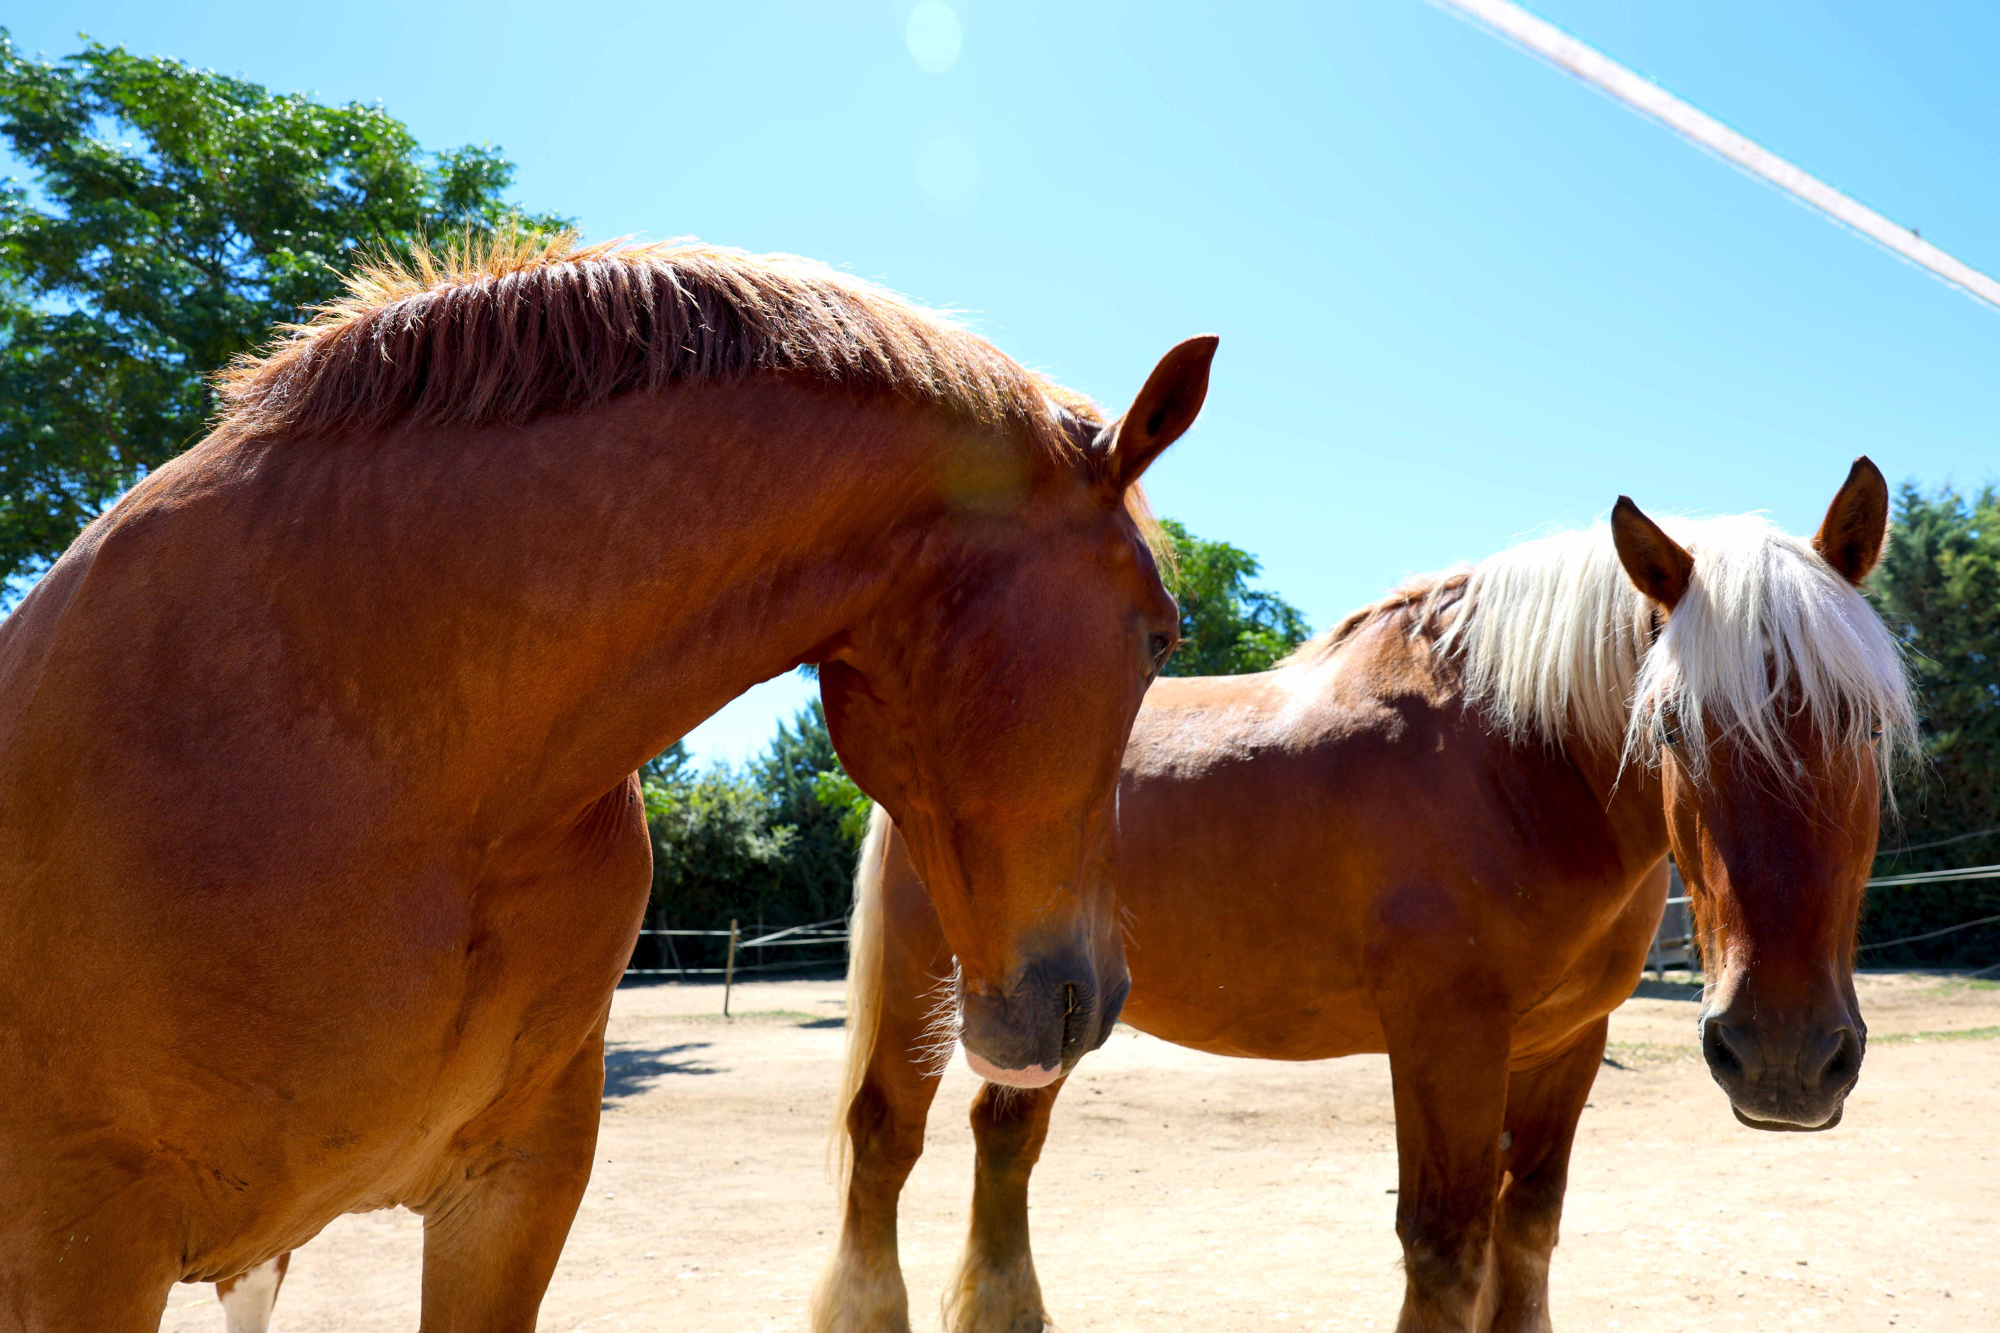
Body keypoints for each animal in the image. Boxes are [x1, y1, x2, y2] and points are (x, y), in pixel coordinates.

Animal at [820, 460, 1912, 1328]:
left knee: (1003, 1137)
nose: (1783, 1058)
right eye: (1674, 726)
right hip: (931, 990)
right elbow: (1445, 1247)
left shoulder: (1565, 1043)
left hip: (1048, 1011)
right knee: (884, 1145)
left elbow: (1524, 1234)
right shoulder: (1444, 1039)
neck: (1512, 765)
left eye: (1864, 723)